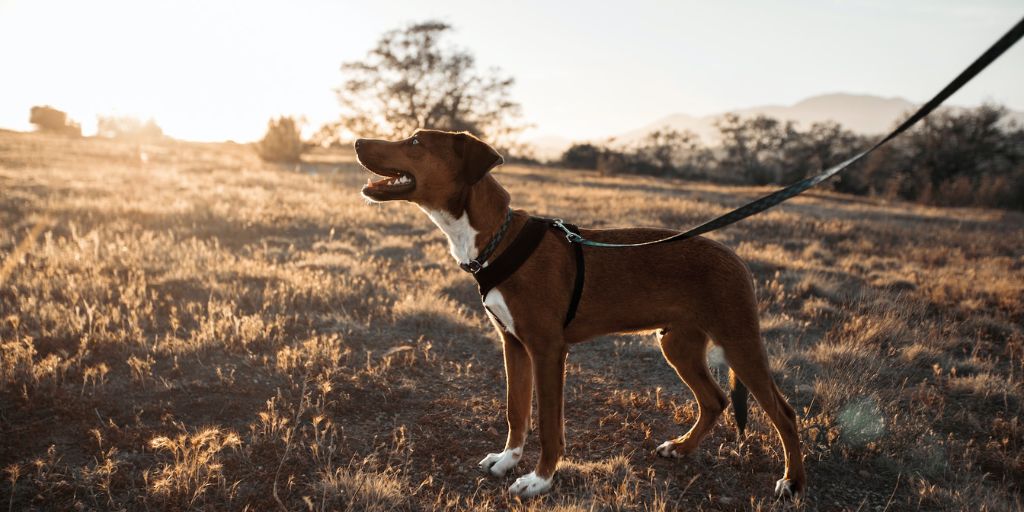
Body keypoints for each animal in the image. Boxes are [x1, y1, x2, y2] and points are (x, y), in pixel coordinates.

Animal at [356, 129, 802, 499]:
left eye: (416, 141)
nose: (358, 141)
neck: (497, 239)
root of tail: (735, 258)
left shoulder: (548, 350)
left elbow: (549, 426)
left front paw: (539, 480)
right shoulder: (513, 344)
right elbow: (516, 411)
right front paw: (507, 460)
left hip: (739, 341)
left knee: (784, 413)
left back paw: (792, 483)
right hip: (679, 344)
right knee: (714, 400)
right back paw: (681, 448)